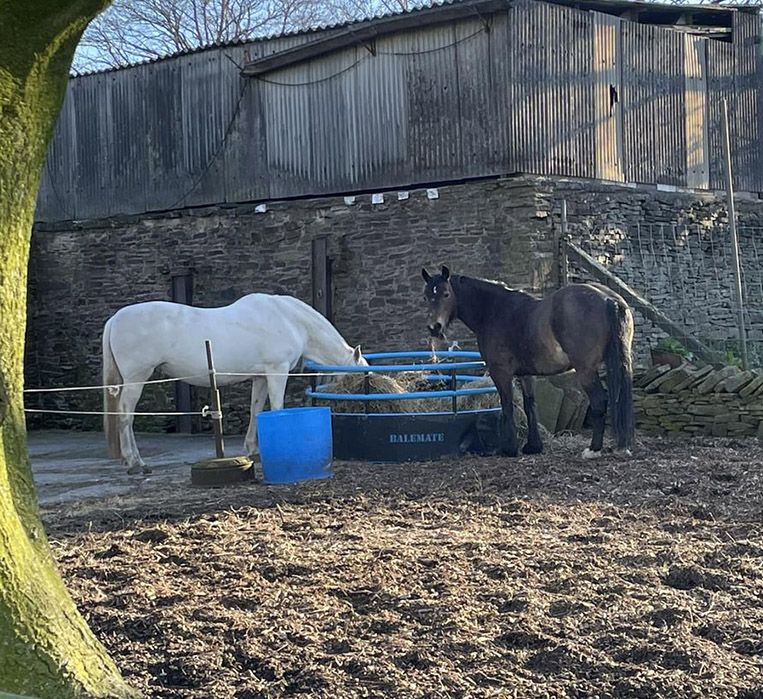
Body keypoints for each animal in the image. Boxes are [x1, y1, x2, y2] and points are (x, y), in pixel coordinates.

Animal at [102, 296, 368, 476]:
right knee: (125, 416)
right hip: (137, 378)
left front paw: (253, 450)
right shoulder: (277, 371)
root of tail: (115, 319)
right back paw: (136, 463)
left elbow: (256, 410)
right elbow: (277, 408)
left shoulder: (260, 377)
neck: (290, 319)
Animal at [420, 266, 636, 456]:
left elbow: (507, 406)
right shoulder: (526, 374)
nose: (434, 327)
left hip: (586, 371)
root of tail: (608, 298)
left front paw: (509, 449)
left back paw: (593, 449)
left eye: (446, 294)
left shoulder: (501, 373)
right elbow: (529, 405)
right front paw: (533, 446)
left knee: (599, 401)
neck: (494, 310)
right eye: (426, 297)